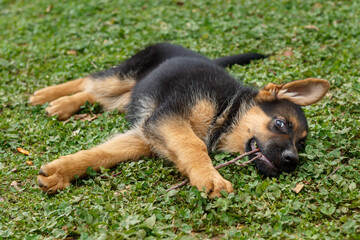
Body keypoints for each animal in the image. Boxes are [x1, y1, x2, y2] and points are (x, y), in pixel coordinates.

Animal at [30, 42, 330, 197]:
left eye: (301, 144)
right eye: (280, 124)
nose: (293, 160)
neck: (227, 108)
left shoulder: (146, 134)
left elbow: (102, 155)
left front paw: (60, 171)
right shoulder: (169, 119)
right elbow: (194, 145)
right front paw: (211, 178)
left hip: (127, 96)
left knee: (95, 95)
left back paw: (62, 105)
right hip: (124, 75)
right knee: (90, 81)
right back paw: (47, 95)